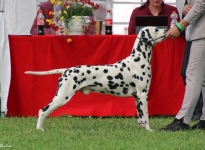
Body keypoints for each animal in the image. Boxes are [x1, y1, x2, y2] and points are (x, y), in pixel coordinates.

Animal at [24, 26, 167, 131]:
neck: (138, 59)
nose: (166, 30)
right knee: (43, 111)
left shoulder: (137, 97)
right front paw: (149, 131)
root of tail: (66, 70)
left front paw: (144, 129)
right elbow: (146, 116)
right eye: (156, 29)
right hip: (62, 97)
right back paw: (39, 129)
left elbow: (141, 118)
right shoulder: (143, 94)